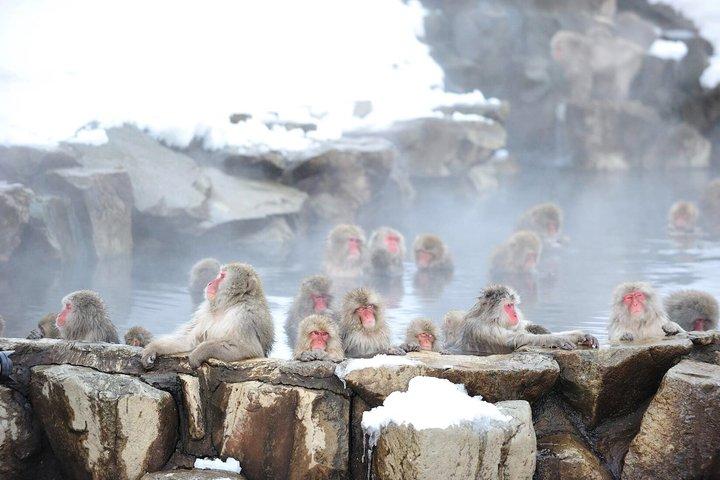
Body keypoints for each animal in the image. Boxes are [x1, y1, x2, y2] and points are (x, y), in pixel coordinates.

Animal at [141, 262, 274, 369]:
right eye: (219, 275)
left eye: (222, 276)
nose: (210, 283)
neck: (228, 305)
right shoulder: (204, 313)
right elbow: (187, 340)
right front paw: (153, 348)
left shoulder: (244, 316)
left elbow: (248, 349)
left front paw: (200, 352)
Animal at [455, 284, 598, 355]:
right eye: (508, 306)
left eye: (513, 305)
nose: (515, 315)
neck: (490, 319)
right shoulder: (484, 330)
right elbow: (517, 339)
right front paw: (555, 340)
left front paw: (581, 335)